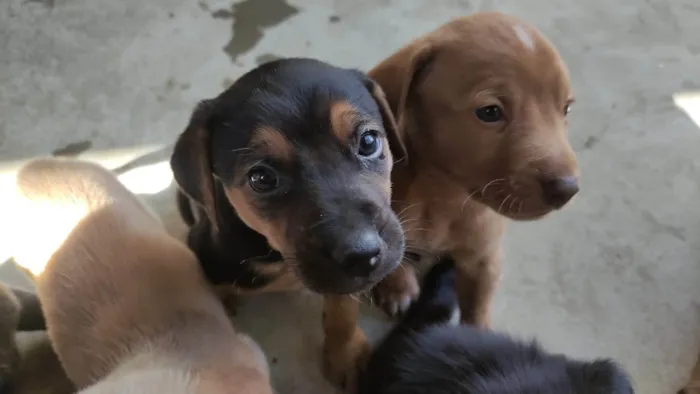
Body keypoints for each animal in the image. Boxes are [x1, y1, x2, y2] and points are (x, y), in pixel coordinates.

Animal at [170, 57, 408, 390]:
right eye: (261, 178)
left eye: (369, 141)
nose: (363, 255)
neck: (279, 256)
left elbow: (343, 310)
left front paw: (346, 354)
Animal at [366, 13, 580, 326]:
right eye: (489, 112)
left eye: (566, 109)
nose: (568, 189)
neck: (443, 195)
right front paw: (397, 286)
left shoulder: (485, 260)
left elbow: (477, 312)